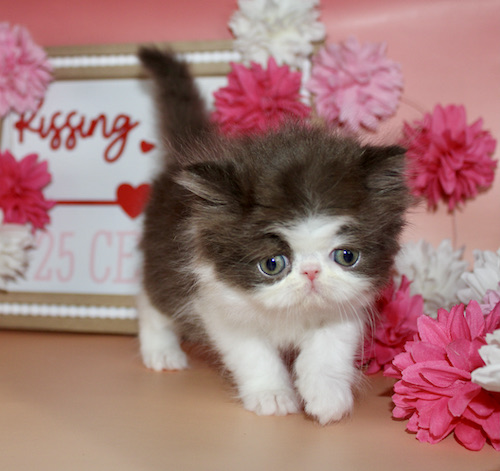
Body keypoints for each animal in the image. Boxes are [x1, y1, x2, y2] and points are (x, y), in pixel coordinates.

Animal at [137, 48, 410, 424]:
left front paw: (326, 397)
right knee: (152, 301)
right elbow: (254, 356)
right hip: (162, 260)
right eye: (272, 264)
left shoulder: (347, 306)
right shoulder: (218, 305)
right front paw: (273, 396)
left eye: (346, 256)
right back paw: (161, 352)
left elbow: (329, 351)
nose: (311, 273)